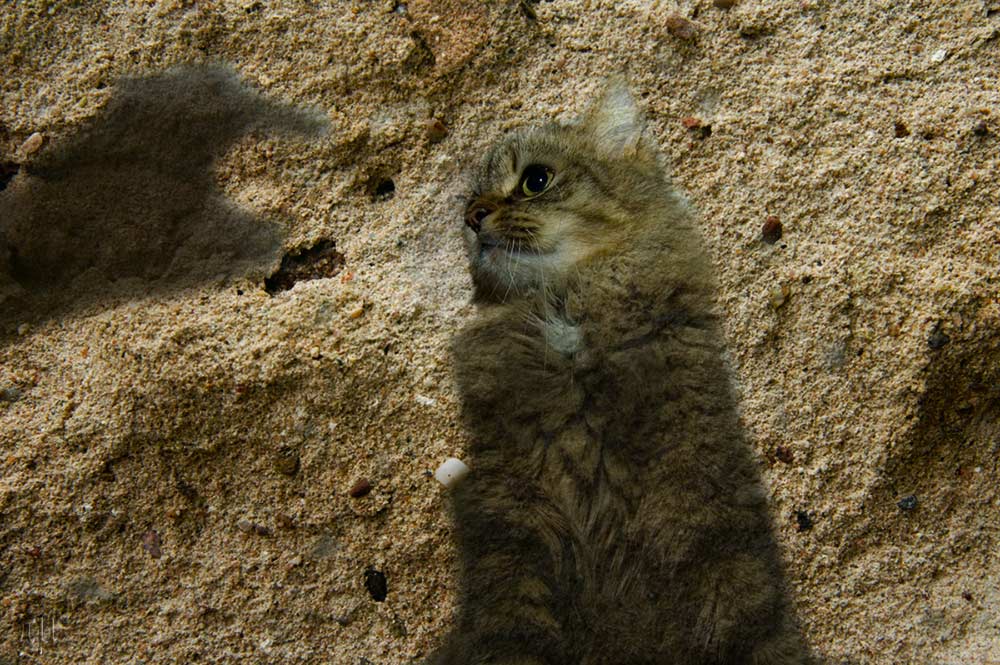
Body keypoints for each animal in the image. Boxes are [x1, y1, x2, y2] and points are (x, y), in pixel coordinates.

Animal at [432, 80, 812, 660]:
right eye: (471, 205)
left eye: (536, 180)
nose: (472, 217)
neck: (566, 318)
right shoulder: (509, 532)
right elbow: (511, 634)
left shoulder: (703, 514)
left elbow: (747, 620)